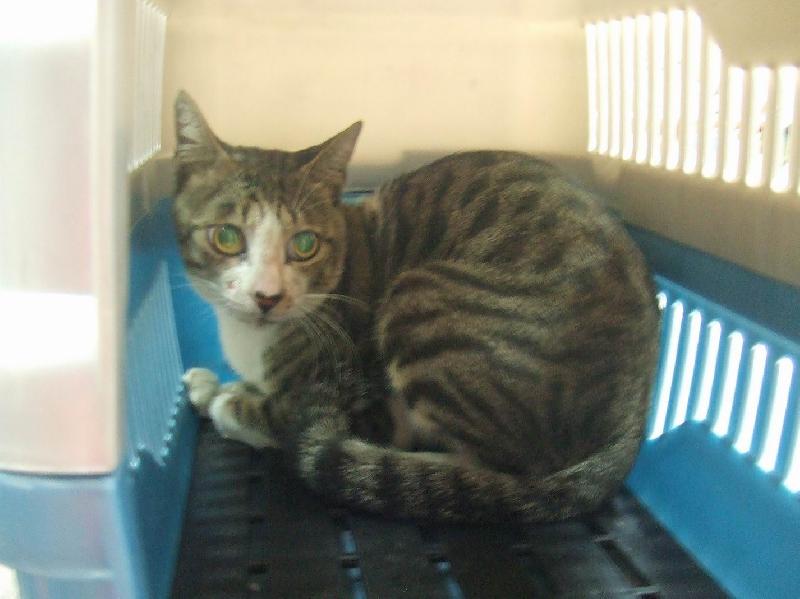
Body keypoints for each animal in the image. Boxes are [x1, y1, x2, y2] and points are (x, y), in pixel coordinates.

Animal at [174, 90, 660, 523]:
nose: (267, 296)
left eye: (305, 244)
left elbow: (279, 415)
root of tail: (635, 412)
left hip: (422, 302)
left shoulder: (360, 403)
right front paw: (217, 385)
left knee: (505, 468)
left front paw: (225, 401)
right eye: (227, 236)